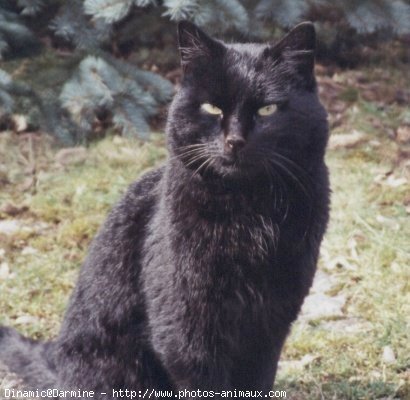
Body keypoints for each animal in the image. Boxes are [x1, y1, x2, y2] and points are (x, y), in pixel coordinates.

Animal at [0, 21, 330, 396]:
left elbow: (257, 381)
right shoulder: (185, 327)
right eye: (212, 108)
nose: (234, 141)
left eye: (268, 110)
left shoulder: (269, 325)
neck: (249, 211)